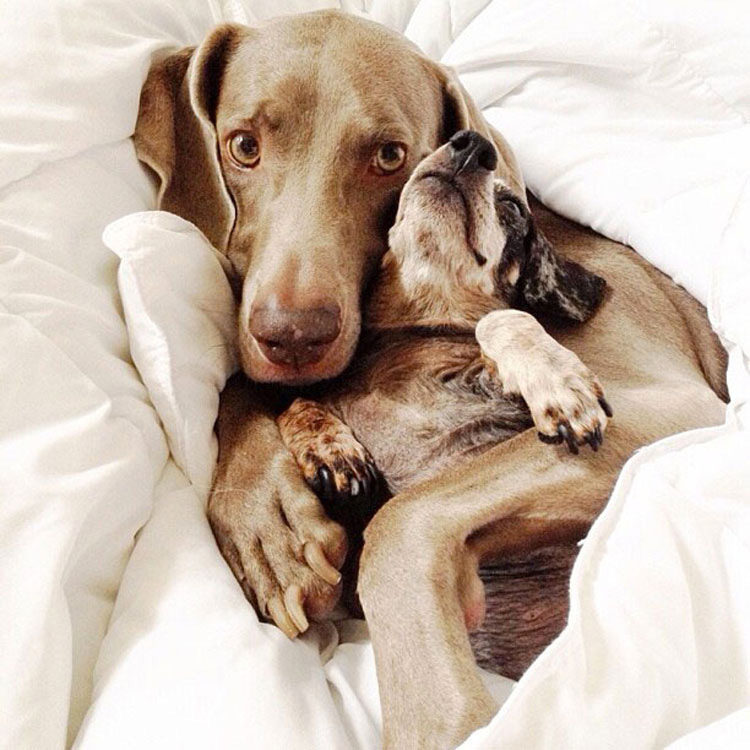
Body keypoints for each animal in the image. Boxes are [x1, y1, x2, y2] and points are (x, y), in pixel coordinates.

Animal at [135, 10, 728, 750]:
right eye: (243, 146)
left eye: (389, 156)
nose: (292, 339)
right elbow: (256, 395)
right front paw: (276, 503)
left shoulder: (672, 408)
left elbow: (400, 527)